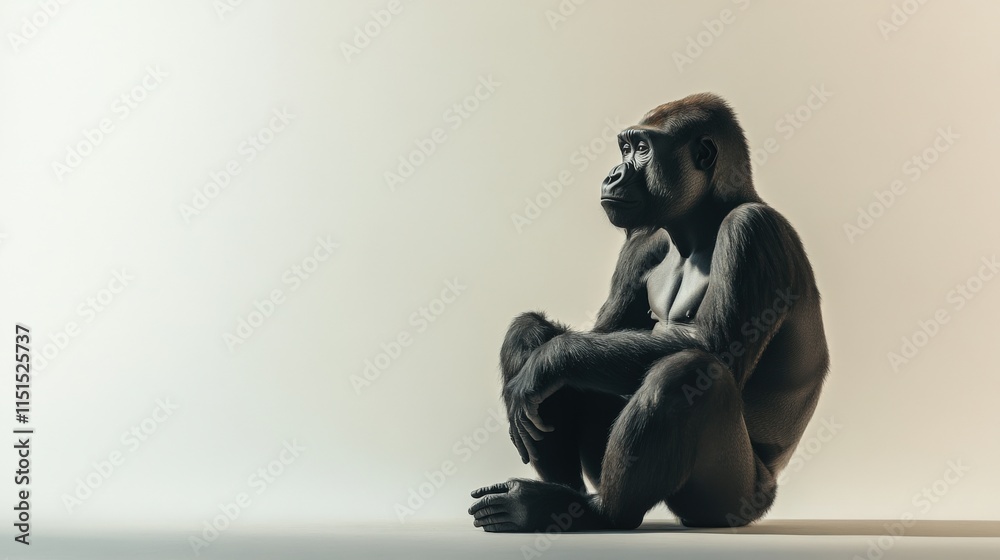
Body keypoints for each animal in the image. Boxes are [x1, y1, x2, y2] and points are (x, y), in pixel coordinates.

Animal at [468, 93, 829, 532]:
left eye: (641, 149)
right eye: (624, 148)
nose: (613, 174)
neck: (699, 225)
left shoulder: (752, 230)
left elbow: (715, 348)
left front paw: (547, 361)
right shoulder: (642, 243)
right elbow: (599, 335)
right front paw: (540, 350)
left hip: (733, 504)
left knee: (689, 372)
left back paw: (595, 512)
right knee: (544, 342)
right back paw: (562, 497)